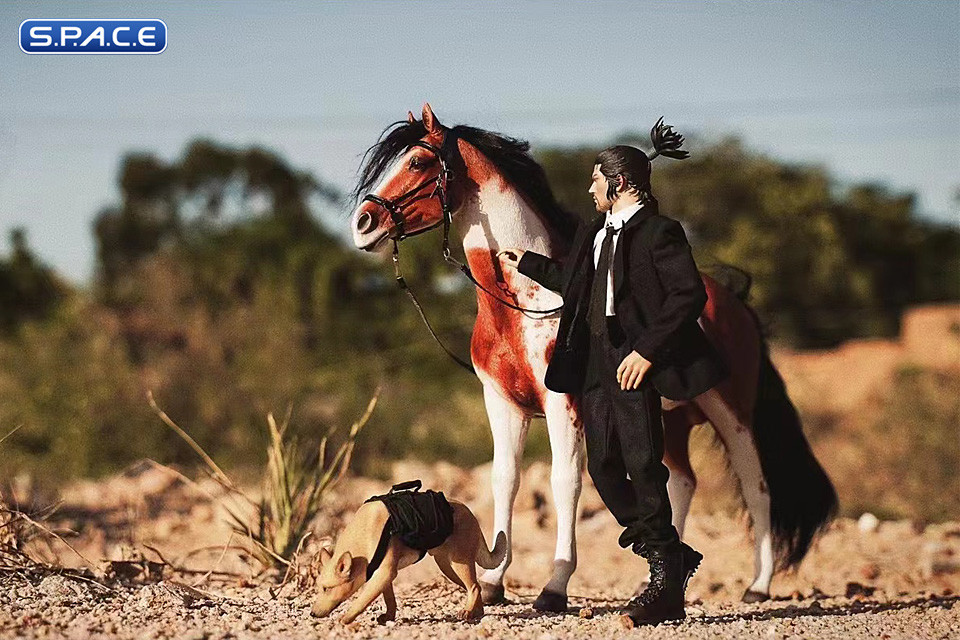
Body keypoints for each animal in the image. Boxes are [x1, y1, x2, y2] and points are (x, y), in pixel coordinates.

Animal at [349, 103, 837, 608]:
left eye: (418, 162)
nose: (363, 224)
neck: (524, 303)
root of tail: (734, 300)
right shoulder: (502, 405)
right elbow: (505, 480)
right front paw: (494, 582)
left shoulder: (562, 406)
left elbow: (566, 482)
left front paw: (554, 587)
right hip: (671, 419)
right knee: (680, 481)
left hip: (731, 413)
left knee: (757, 487)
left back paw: (758, 586)